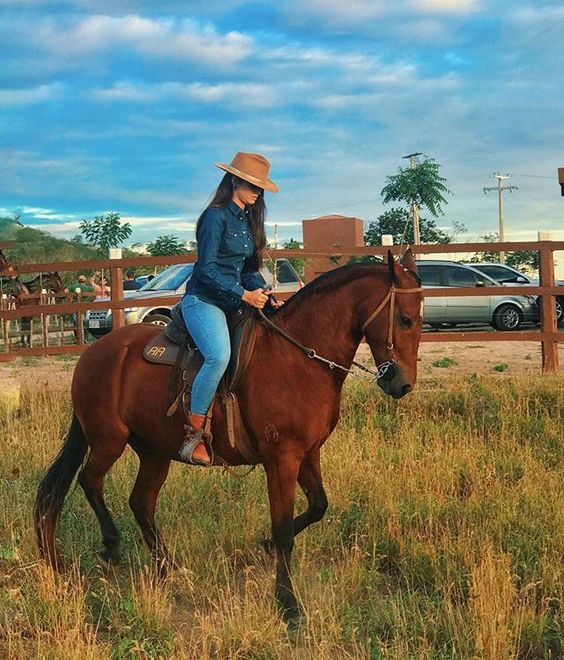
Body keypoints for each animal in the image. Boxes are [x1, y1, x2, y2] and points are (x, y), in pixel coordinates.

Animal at [34, 250, 423, 623]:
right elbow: (283, 530)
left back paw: (169, 569)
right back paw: (112, 548)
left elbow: (318, 506)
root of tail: (93, 353)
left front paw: (263, 548)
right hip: (108, 440)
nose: (402, 383)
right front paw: (288, 604)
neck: (298, 358)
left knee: (141, 503)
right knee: (90, 481)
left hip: (155, 452)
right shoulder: (281, 461)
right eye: (404, 319)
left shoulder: (308, 454)